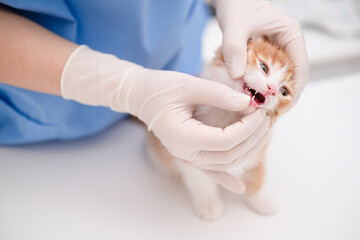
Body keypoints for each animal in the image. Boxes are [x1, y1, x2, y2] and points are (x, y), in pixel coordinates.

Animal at [146, 38, 296, 221]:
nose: (272, 89)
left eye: (284, 91)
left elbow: (256, 174)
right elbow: (201, 181)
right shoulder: (191, 156)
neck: (231, 115)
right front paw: (209, 204)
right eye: (264, 67)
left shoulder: (258, 151)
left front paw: (261, 199)